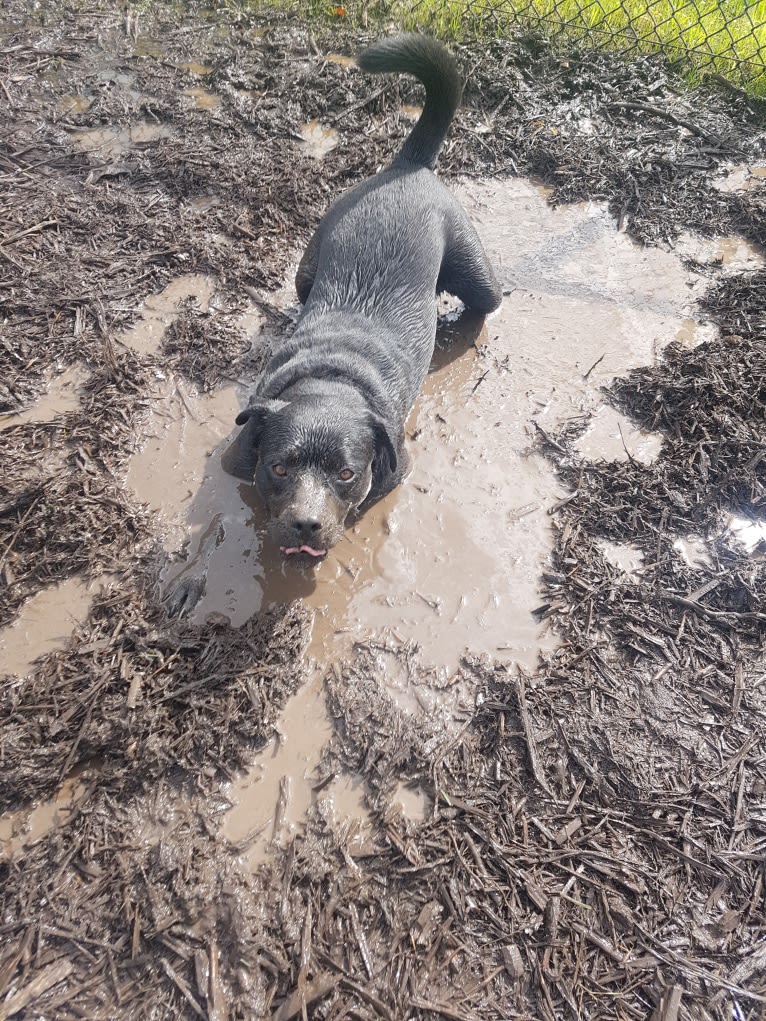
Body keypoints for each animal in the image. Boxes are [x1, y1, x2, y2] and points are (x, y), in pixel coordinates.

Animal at [230, 33, 500, 567]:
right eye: (279, 468)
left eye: (346, 474)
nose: (306, 524)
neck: (333, 376)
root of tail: (408, 166)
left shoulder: (397, 468)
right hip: (305, 272)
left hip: (482, 282)